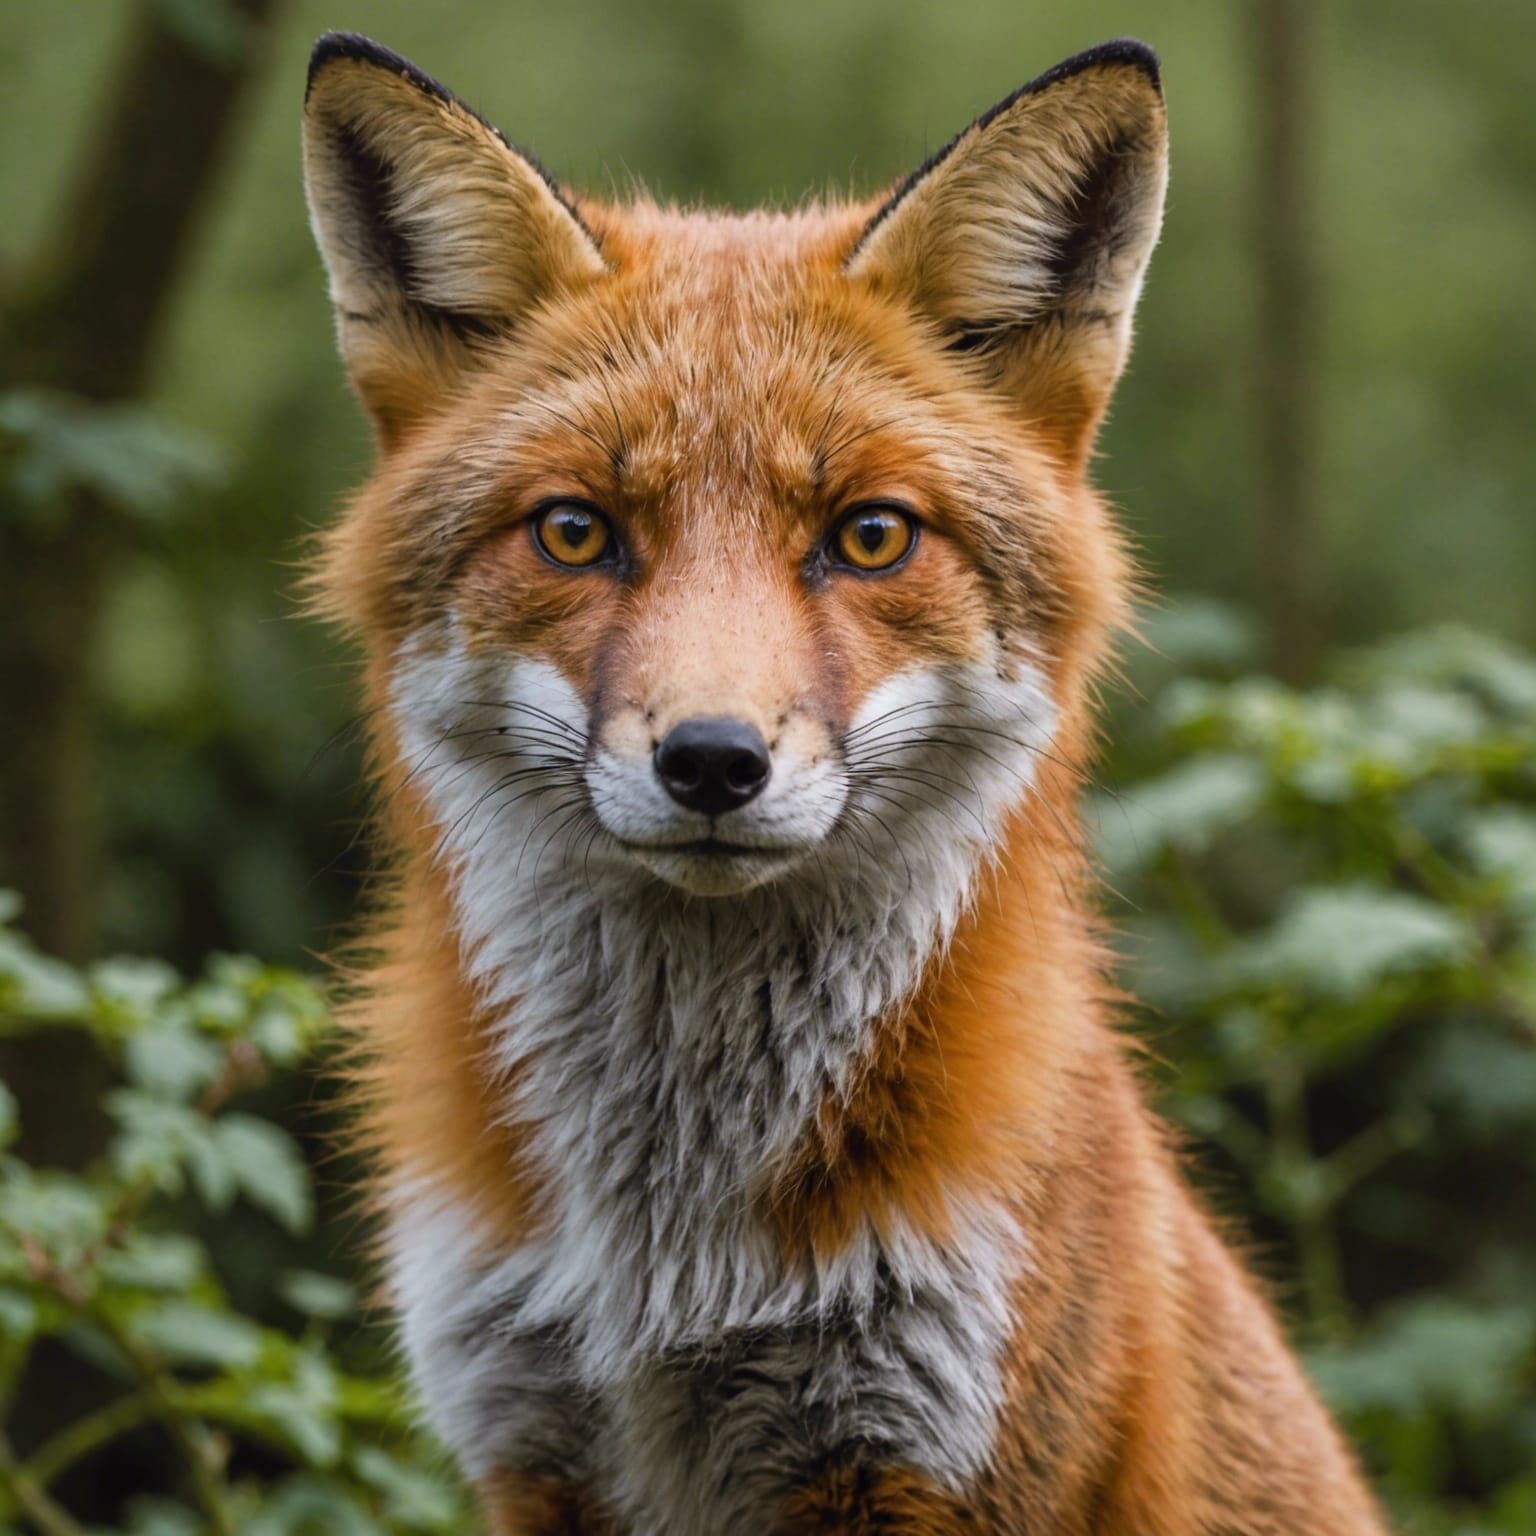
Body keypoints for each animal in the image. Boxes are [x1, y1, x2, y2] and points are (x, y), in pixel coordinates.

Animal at [302, 29, 1390, 1536]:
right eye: (575, 532)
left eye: (870, 537)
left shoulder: (926, 1450)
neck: (671, 1260)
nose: (711, 760)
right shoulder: (530, 1444)